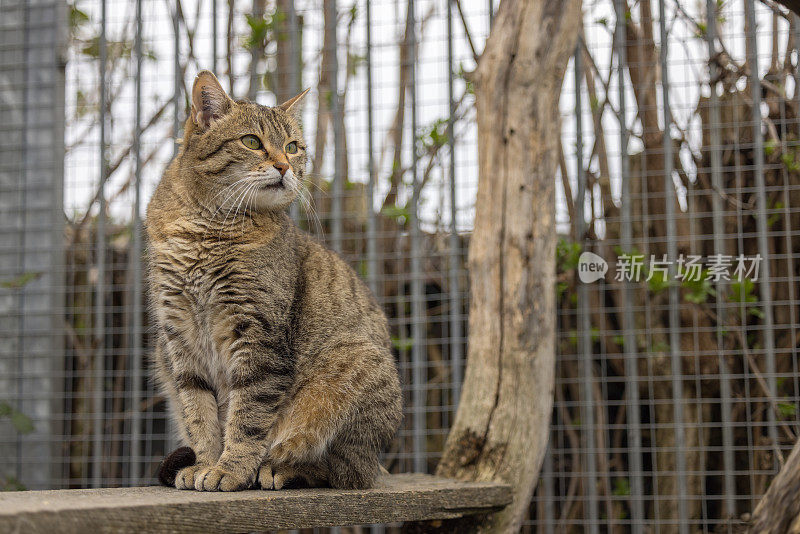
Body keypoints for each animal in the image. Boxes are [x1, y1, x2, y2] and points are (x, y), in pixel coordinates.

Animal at [145, 71, 400, 494]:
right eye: (252, 141)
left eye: (293, 148)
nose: (284, 166)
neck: (206, 229)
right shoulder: (180, 337)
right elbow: (199, 414)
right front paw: (206, 463)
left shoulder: (259, 336)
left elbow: (247, 416)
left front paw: (230, 469)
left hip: (352, 362)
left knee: (344, 470)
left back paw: (279, 468)